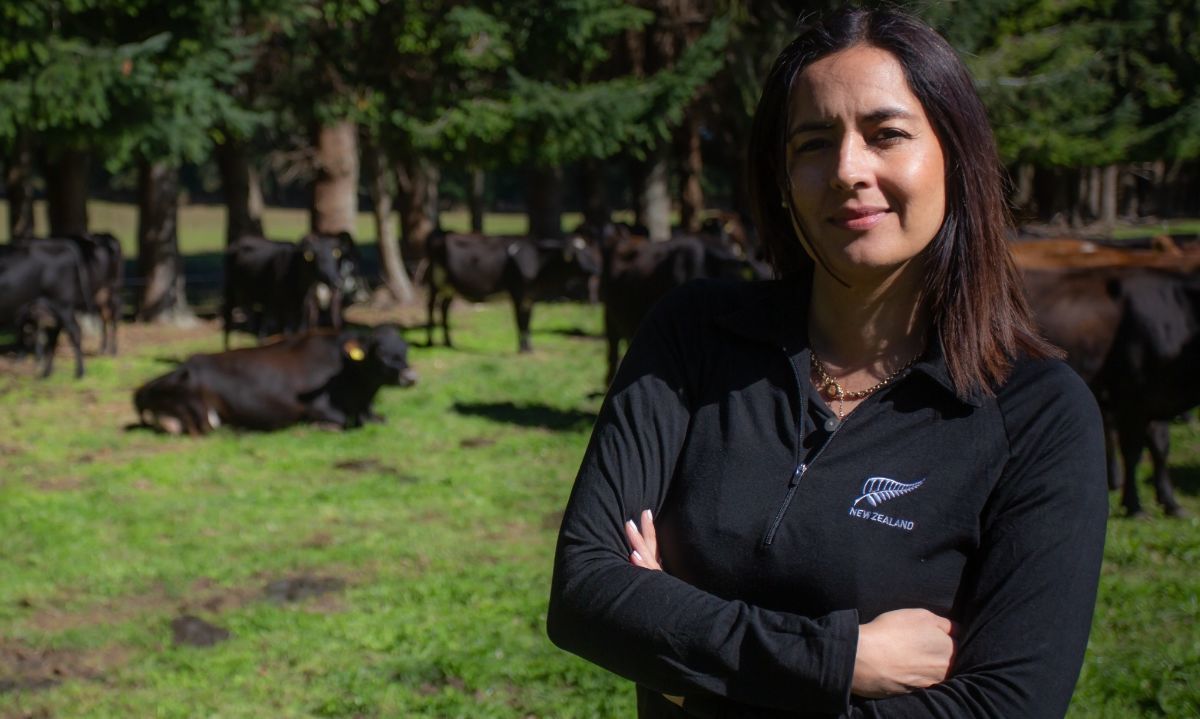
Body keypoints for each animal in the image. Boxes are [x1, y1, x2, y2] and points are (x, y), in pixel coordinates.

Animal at [0, 240, 88, 376]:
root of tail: (62, 244)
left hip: (62, 305)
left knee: (74, 331)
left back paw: (79, 372)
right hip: (48, 310)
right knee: (52, 336)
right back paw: (46, 372)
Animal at [134, 324, 417, 432]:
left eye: (405, 348)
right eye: (379, 351)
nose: (411, 375)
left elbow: (380, 419)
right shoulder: (316, 408)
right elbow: (343, 422)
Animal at [429, 231, 604, 352]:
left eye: (588, 251)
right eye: (577, 255)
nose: (596, 269)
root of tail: (441, 238)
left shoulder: (530, 297)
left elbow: (528, 321)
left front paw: (529, 348)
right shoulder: (517, 294)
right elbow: (519, 321)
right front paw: (521, 348)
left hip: (449, 288)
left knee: (444, 308)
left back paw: (448, 342)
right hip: (436, 283)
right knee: (431, 306)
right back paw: (430, 341)